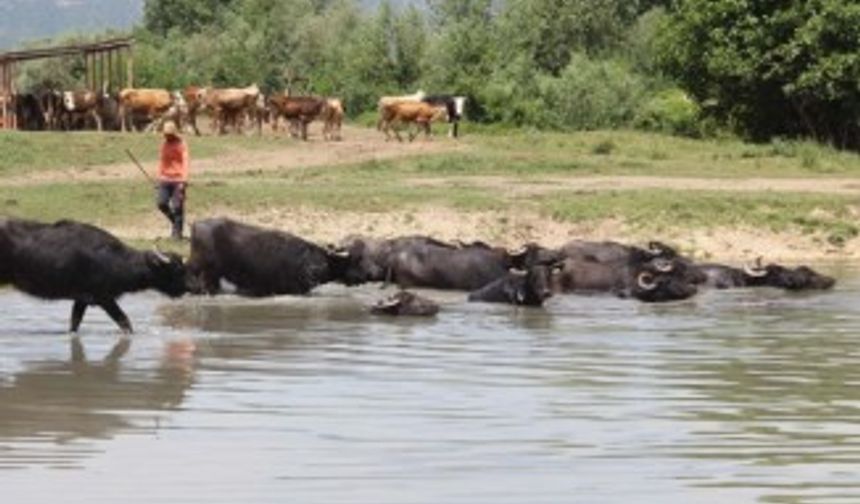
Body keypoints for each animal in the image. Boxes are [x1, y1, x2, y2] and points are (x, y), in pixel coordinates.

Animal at [0, 218, 187, 332]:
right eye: (176, 269)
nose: (187, 287)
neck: (113, 260)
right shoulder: (104, 298)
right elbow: (125, 322)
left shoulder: (82, 299)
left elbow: (74, 324)